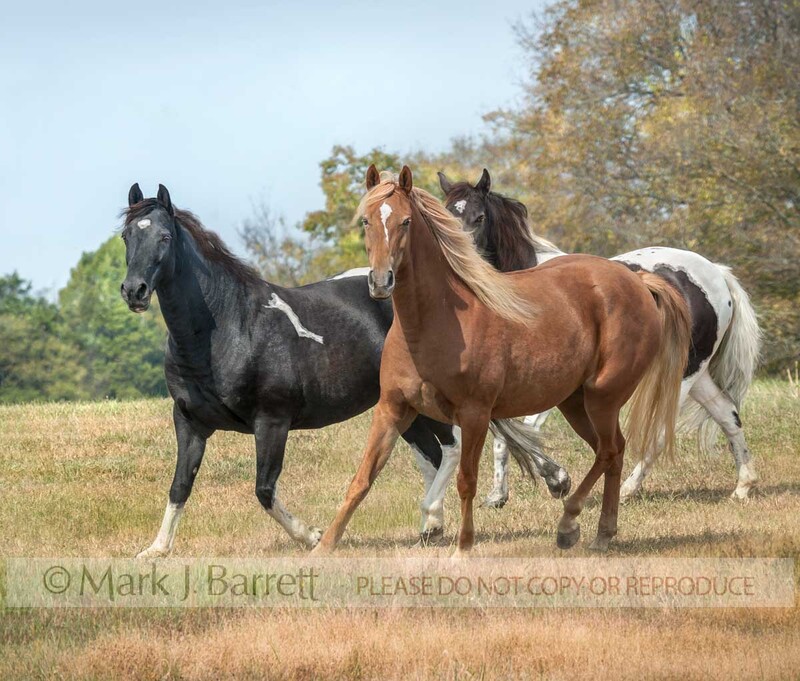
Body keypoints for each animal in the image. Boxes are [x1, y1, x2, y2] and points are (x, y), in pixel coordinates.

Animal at [120, 184, 568, 557]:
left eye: (164, 238)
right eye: (127, 236)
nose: (134, 291)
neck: (231, 327)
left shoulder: (272, 421)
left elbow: (264, 489)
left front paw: (312, 536)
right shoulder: (190, 422)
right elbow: (180, 485)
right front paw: (155, 550)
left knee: (451, 447)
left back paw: (442, 515)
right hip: (405, 408)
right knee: (436, 453)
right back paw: (433, 525)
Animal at [313, 165, 691, 554]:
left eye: (405, 221)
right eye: (367, 221)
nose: (380, 281)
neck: (437, 321)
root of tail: (638, 281)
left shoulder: (475, 414)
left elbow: (467, 480)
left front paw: (463, 548)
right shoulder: (393, 408)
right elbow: (362, 478)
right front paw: (323, 546)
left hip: (603, 397)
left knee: (608, 450)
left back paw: (569, 523)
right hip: (576, 402)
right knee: (612, 450)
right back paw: (600, 532)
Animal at [439, 169, 762, 506]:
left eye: (479, 217)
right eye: (446, 214)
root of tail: (716, 273)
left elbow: (527, 429)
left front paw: (558, 481)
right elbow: (504, 435)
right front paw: (498, 496)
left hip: (684, 373)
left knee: (661, 434)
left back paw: (627, 489)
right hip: (697, 374)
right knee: (728, 415)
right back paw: (743, 486)